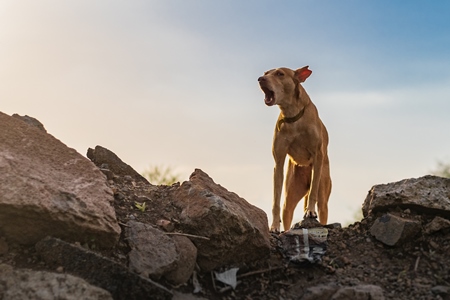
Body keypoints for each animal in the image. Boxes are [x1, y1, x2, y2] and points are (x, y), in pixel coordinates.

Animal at [256, 66, 330, 232]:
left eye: (280, 74)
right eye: (265, 73)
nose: (260, 79)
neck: (292, 113)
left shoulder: (317, 156)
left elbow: (313, 192)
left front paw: (310, 211)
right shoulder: (279, 162)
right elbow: (275, 201)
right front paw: (274, 226)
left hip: (323, 194)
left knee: (321, 204)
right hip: (290, 195)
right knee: (287, 212)